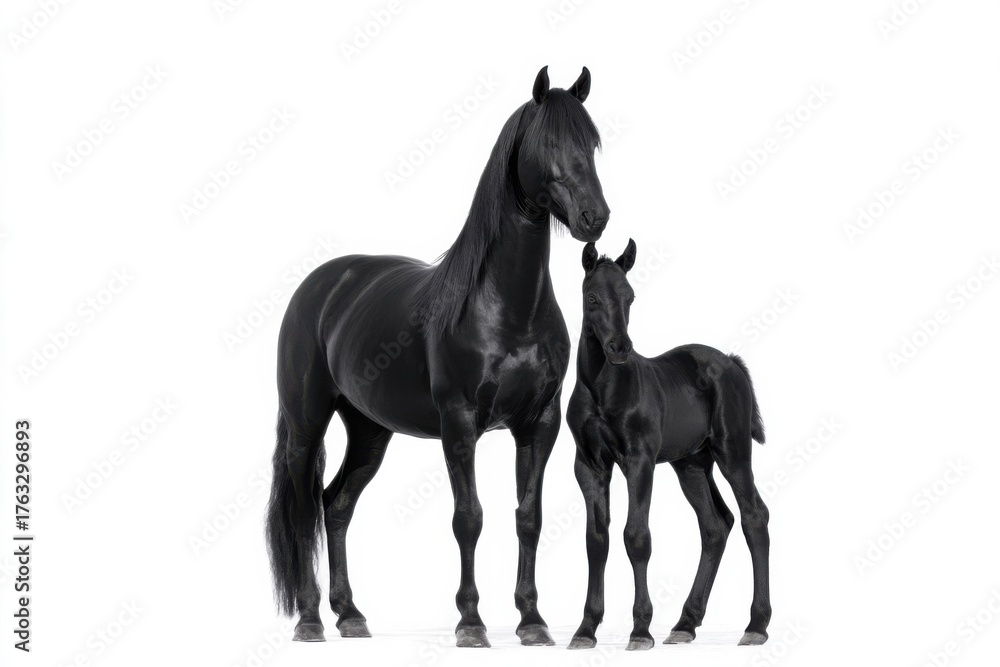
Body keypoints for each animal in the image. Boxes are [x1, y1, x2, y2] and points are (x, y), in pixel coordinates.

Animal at [265, 66, 610, 648]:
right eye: (547, 143)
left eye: (592, 143)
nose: (595, 217)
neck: (507, 308)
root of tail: (321, 284)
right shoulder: (460, 424)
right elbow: (468, 518)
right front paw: (471, 624)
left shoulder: (538, 424)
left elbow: (529, 517)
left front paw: (532, 622)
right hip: (307, 422)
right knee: (303, 509)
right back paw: (311, 620)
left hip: (370, 431)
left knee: (336, 506)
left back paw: (350, 615)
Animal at [566, 240, 771, 650]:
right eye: (591, 297)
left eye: (629, 296)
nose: (619, 347)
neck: (602, 390)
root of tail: (732, 363)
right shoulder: (589, 465)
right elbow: (597, 539)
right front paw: (585, 630)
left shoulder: (639, 460)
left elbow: (636, 536)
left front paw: (640, 631)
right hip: (691, 464)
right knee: (715, 524)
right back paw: (685, 623)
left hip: (733, 452)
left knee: (754, 516)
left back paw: (756, 625)